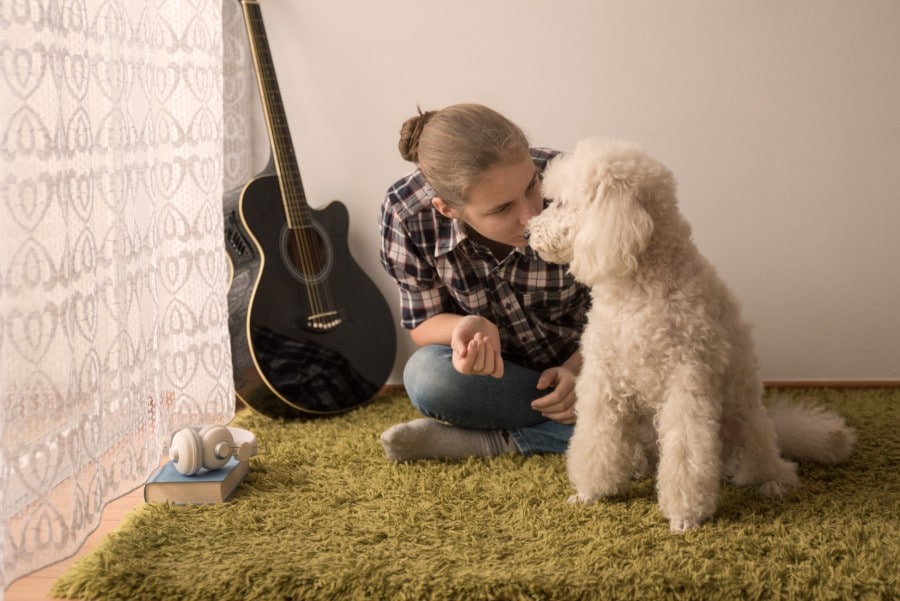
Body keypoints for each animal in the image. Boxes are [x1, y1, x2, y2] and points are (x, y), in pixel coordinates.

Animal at [528, 139, 856, 528]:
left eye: (562, 204)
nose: (528, 233)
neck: (639, 288)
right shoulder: (603, 380)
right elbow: (596, 441)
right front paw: (590, 493)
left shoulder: (687, 385)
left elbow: (686, 456)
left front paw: (685, 516)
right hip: (643, 424)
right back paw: (638, 469)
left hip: (746, 424)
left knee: (770, 464)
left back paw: (772, 483)